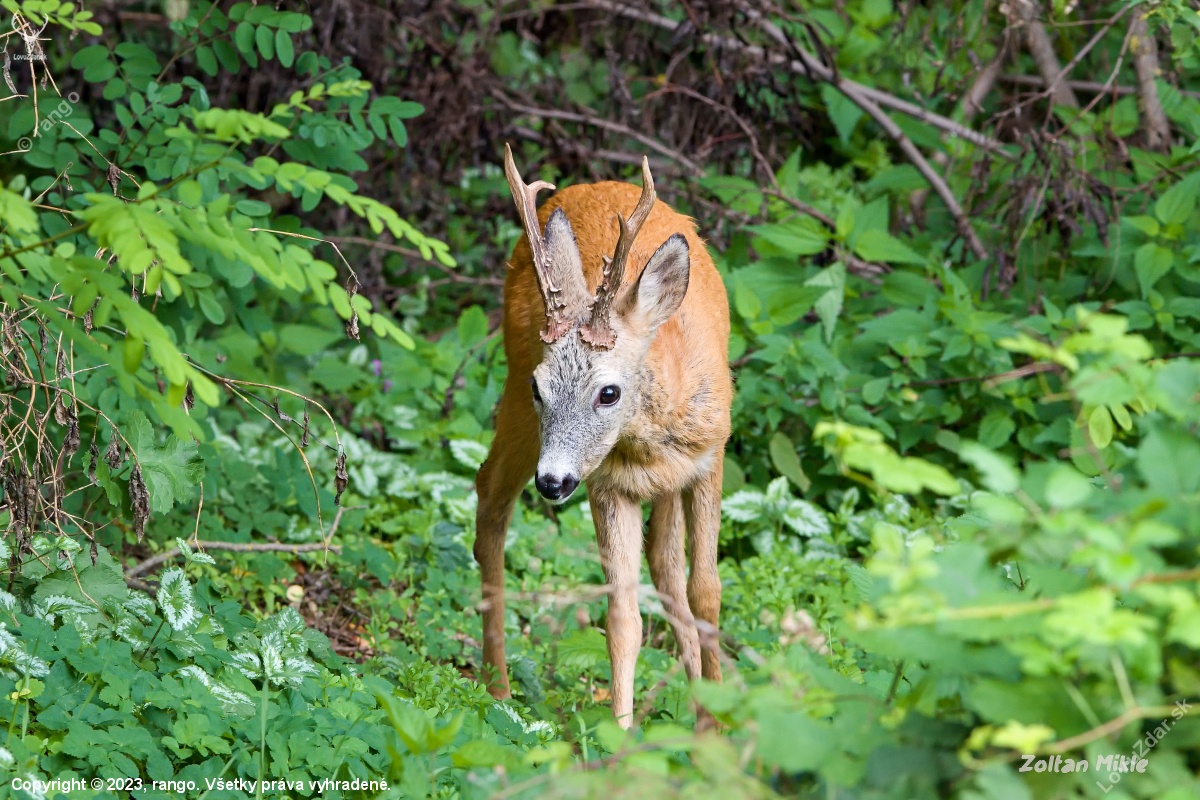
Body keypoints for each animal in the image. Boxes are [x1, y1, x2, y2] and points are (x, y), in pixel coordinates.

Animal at [475, 146, 729, 729]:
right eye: (541, 386)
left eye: (608, 392)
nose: (552, 482)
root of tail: (587, 187)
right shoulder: (607, 484)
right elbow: (622, 620)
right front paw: (623, 734)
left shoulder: (711, 458)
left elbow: (705, 592)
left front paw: (717, 723)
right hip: (516, 404)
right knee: (489, 499)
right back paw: (497, 688)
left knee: (669, 569)